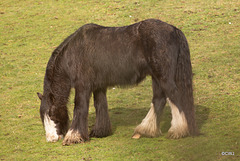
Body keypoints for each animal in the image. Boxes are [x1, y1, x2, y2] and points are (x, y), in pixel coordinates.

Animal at [37, 18, 198, 146]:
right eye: (43, 117)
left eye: (52, 115)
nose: (51, 139)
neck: (74, 52)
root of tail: (174, 30)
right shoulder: (99, 87)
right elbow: (100, 105)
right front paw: (100, 131)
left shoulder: (83, 87)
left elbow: (80, 108)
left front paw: (73, 137)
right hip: (156, 77)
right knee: (159, 100)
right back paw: (146, 130)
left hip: (163, 77)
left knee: (175, 98)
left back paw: (178, 131)